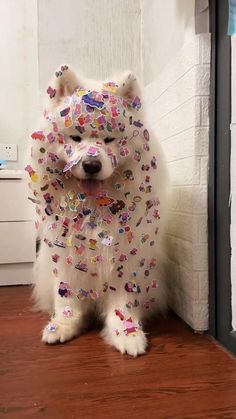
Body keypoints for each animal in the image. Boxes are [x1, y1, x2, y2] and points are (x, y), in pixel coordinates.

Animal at [26, 65, 168, 358]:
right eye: (76, 137)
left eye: (110, 139)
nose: (91, 164)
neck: (93, 210)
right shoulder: (64, 256)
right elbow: (66, 297)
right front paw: (63, 325)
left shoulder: (126, 259)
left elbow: (123, 304)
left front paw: (127, 333)